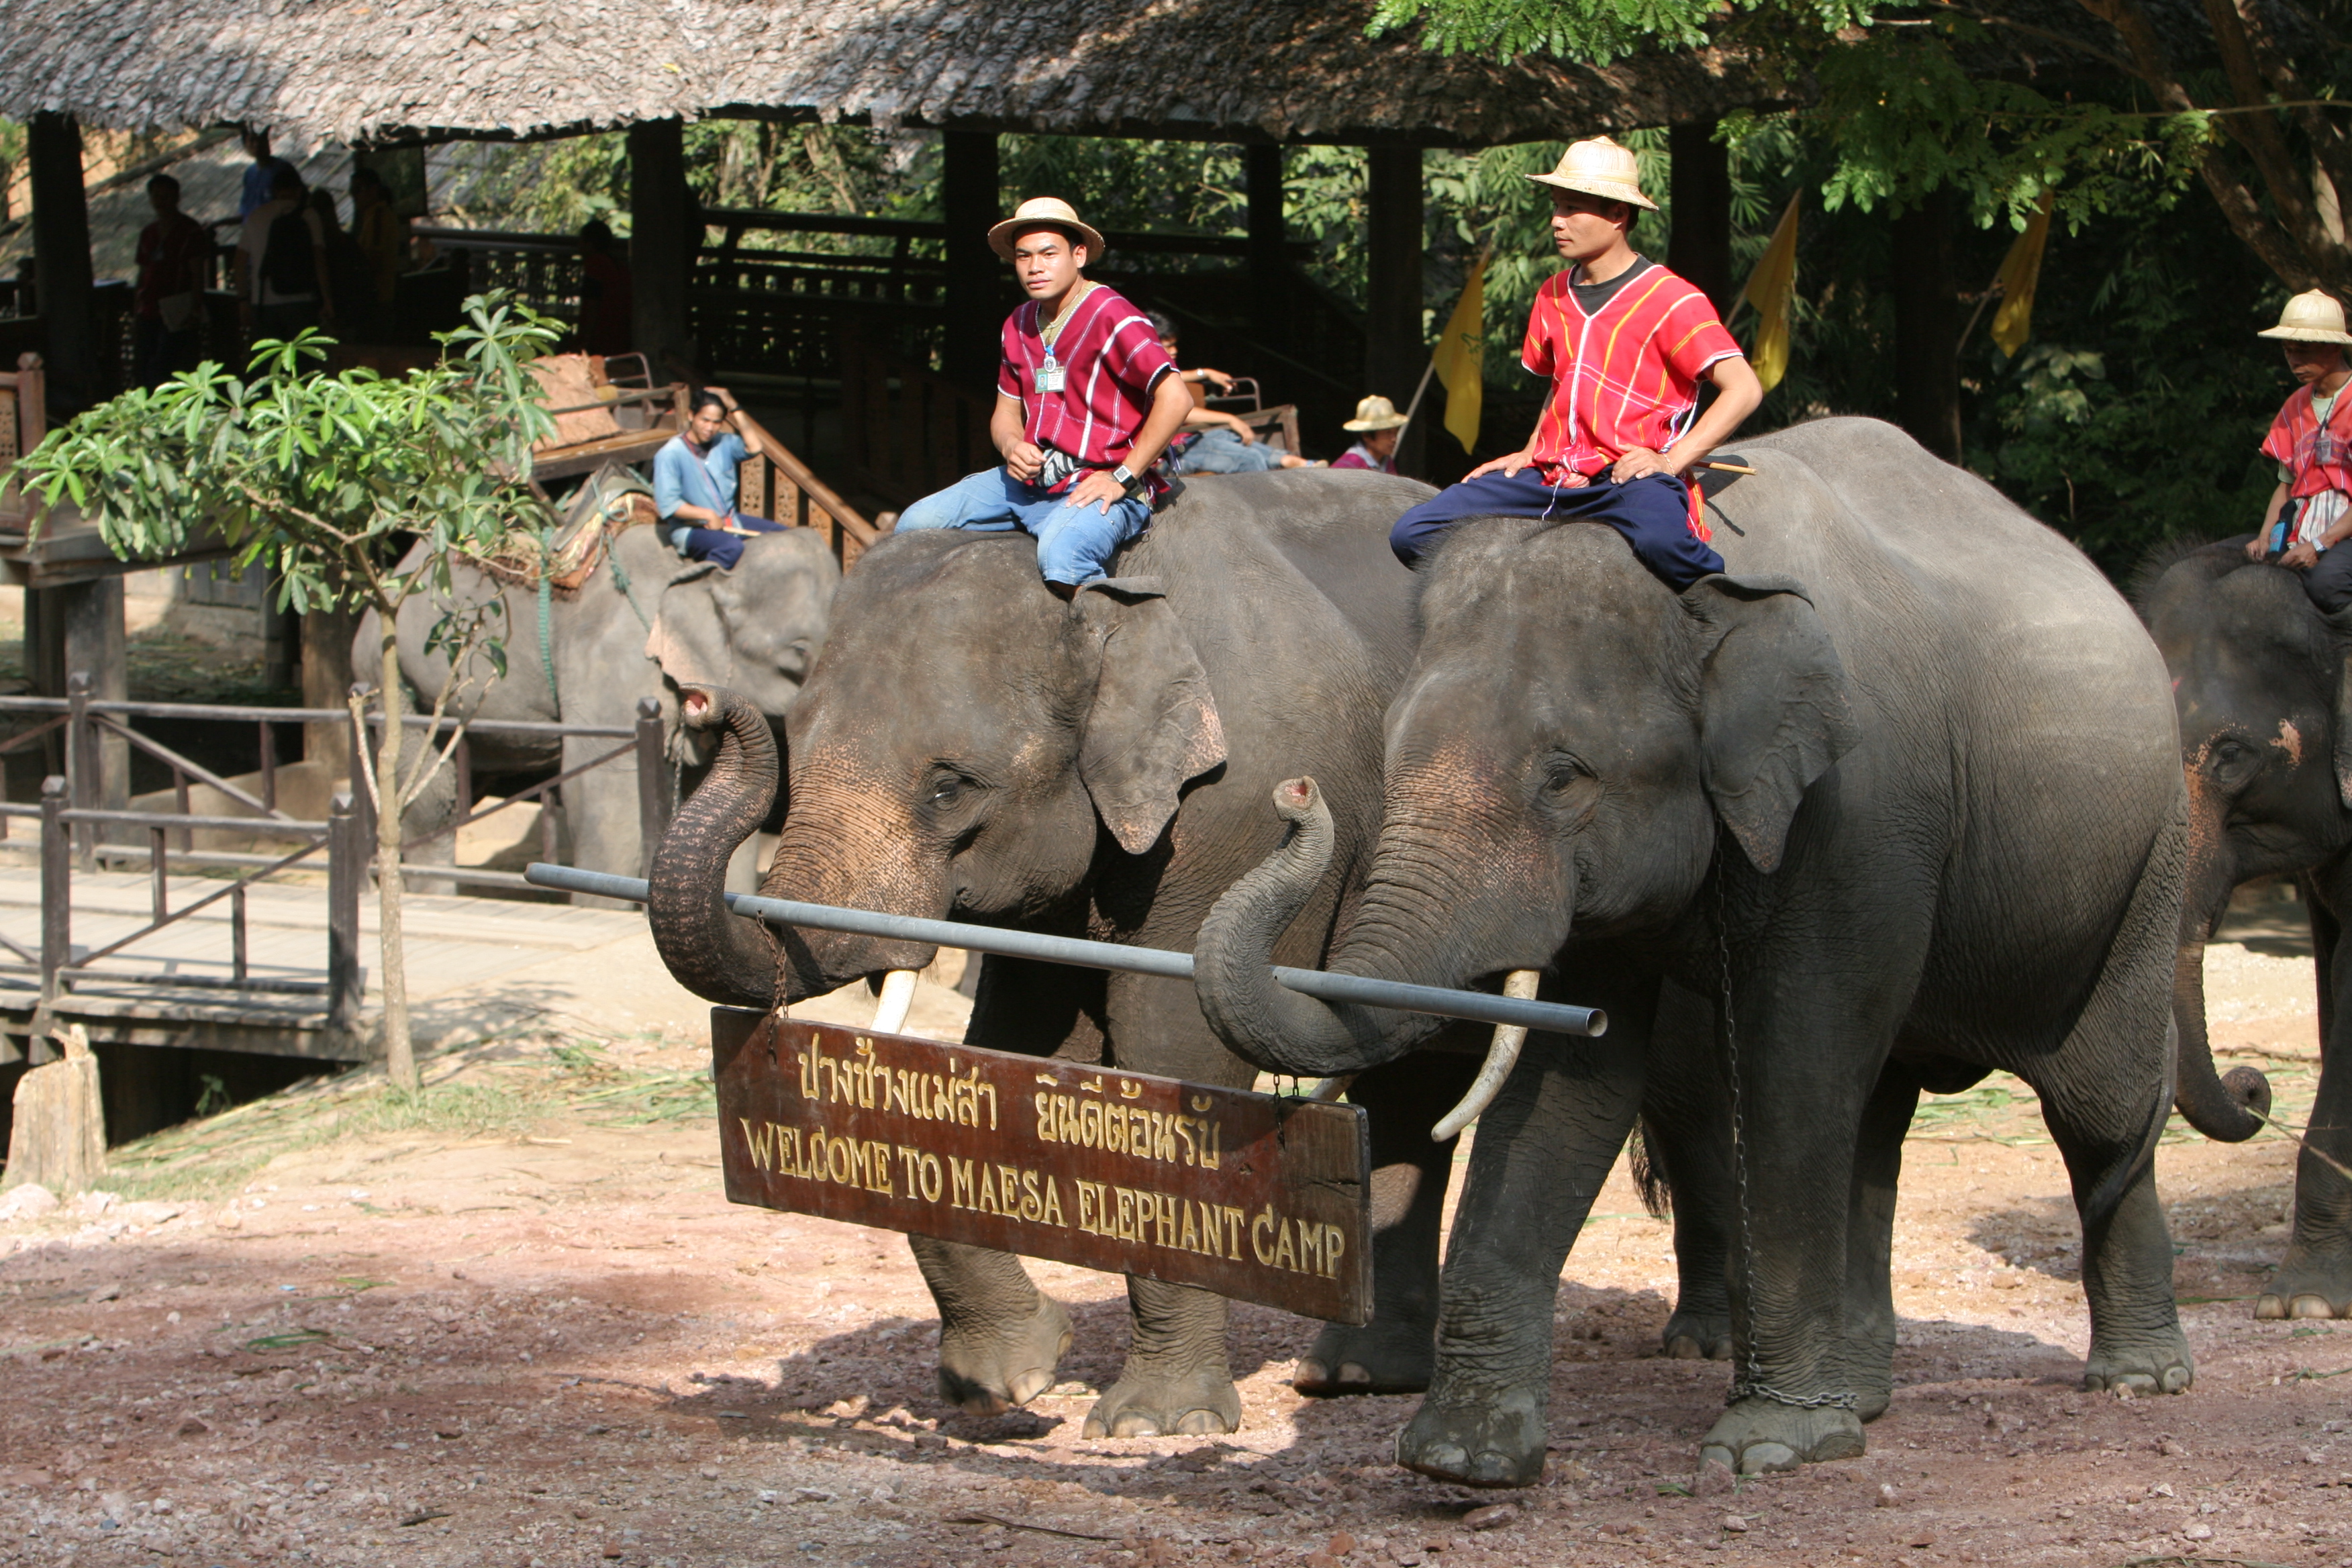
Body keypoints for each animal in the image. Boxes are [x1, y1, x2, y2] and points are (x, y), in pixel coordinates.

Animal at [354, 522, 836, 885]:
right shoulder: (615, 666)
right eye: (797, 656)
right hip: (387, 673)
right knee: (431, 802)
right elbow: (604, 806)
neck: (706, 569)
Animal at [642, 468, 1584, 1439]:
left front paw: (1156, 1424)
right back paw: (1354, 1379)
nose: (700, 701)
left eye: (950, 788)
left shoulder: (1230, 813)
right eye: (799, 742)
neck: (1115, 594)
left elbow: (1171, 1049)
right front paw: (1009, 1381)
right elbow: (1010, 1055)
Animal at [1191, 417, 2212, 1485]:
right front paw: (1461, 1460)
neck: (1711, 583)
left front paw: (1769, 1446)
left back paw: (2138, 1377)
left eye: (1565, 778)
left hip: (2150, 863)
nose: (1295, 791)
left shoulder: (1859, 810)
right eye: (1390, 752)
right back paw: (1866, 1397)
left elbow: (1792, 1065)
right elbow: (1571, 1087)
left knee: (2100, 1104)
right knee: (1879, 1121)